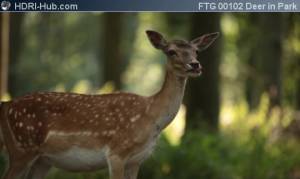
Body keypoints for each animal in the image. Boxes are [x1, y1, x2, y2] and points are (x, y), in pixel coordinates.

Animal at [0, 30, 219, 178]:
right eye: (172, 51)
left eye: (196, 51)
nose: (195, 65)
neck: (151, 116)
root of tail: (7, 105)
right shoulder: (116, 152)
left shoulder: (137, 160)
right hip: (21, 148)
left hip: (43, 160)